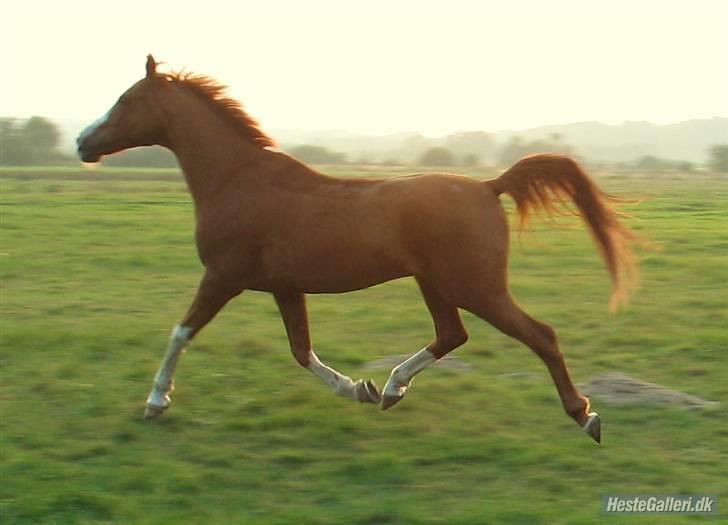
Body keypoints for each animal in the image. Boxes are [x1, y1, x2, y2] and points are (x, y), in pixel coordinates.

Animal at [77, 56, 640, 442]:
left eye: (125, 100)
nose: (83, 142)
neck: (237, 180)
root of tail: (488, 186)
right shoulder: (284, 287)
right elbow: (301, 350)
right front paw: (359, 389)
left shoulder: (222, 277)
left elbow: (181, 332)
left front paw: (155, 402)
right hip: (436, 285)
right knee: (452, 334)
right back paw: (391, 389)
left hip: (476, 287)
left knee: (540, 335)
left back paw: (585, 415)